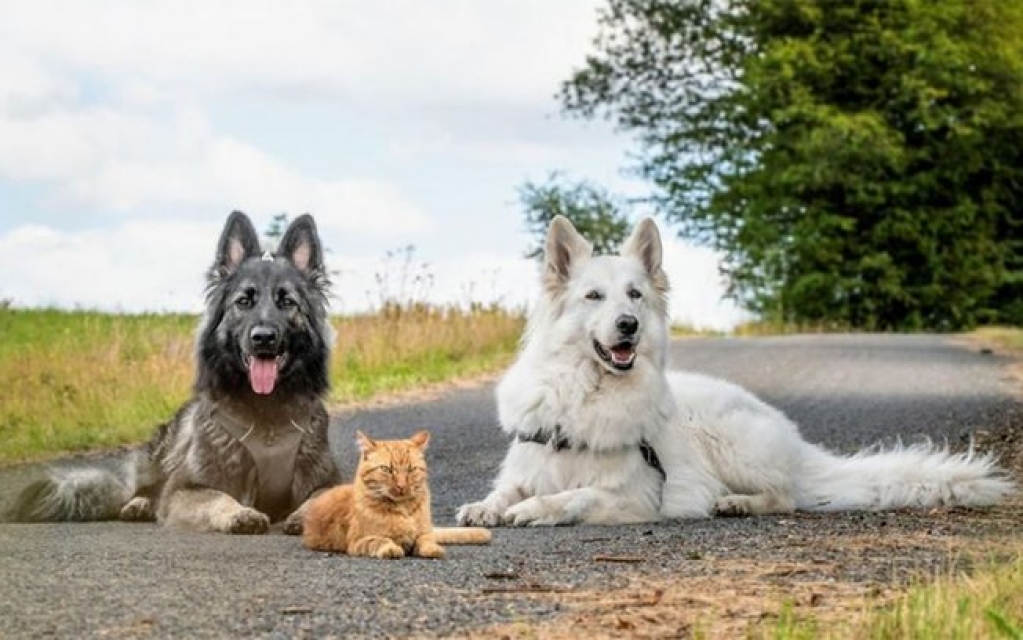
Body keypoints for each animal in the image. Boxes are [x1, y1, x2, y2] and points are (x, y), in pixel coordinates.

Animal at [298, 429, 491, 556]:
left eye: (411, 470)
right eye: (387, 469)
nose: (401, 485)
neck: (404, 509)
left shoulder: (424, 532)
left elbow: (426, 539)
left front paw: (432, 548)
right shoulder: (357, 541)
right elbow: (380, 540)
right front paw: (390, 548)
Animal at [458, 214, 1014, 523]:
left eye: (634, 295)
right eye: (593, 296)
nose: (628, 325)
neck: (587, 391)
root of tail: (797, 444)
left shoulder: (639, 494)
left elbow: (575, 496)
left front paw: (533, 510)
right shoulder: (531, 462)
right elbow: (505, 488)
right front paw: (488, 506)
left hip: (730, 444)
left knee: (785, 496)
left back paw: (738, 503)